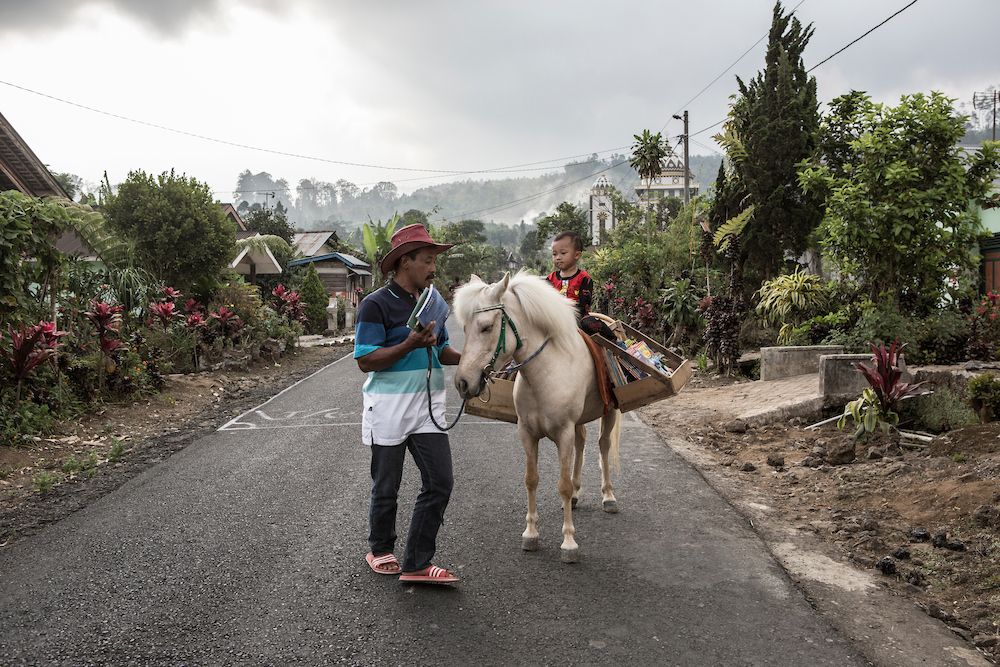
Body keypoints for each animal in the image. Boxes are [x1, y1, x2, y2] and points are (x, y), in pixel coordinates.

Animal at [452, 272, 616, 564]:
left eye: (486, 327)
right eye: (465, 328)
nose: (463, 383)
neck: (546, 373)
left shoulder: (563, 433)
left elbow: (562, 485)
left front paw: (569, 543)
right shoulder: (527, 433)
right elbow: (531, 479)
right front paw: (530, 534)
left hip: (610, 412)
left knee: (604, 445)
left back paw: (608, 496)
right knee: (583, 442)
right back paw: (578, 494)